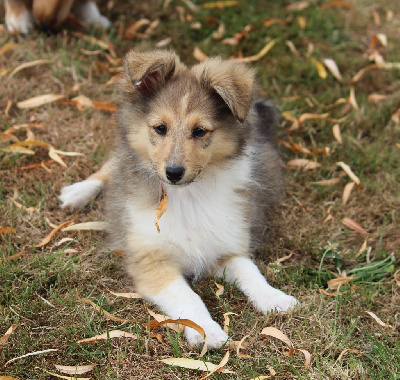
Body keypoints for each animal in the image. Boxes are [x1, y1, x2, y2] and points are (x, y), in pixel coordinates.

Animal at [58, 50, 296, 350]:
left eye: (200, 131)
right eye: (160, 128)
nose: (173, 173)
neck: (188, 195)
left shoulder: (224, 247)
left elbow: (250, 270)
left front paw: (273, 297)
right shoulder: (151, 262)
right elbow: (188, 297)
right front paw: (206, 331)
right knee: (110, 166)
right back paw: (77, 192)